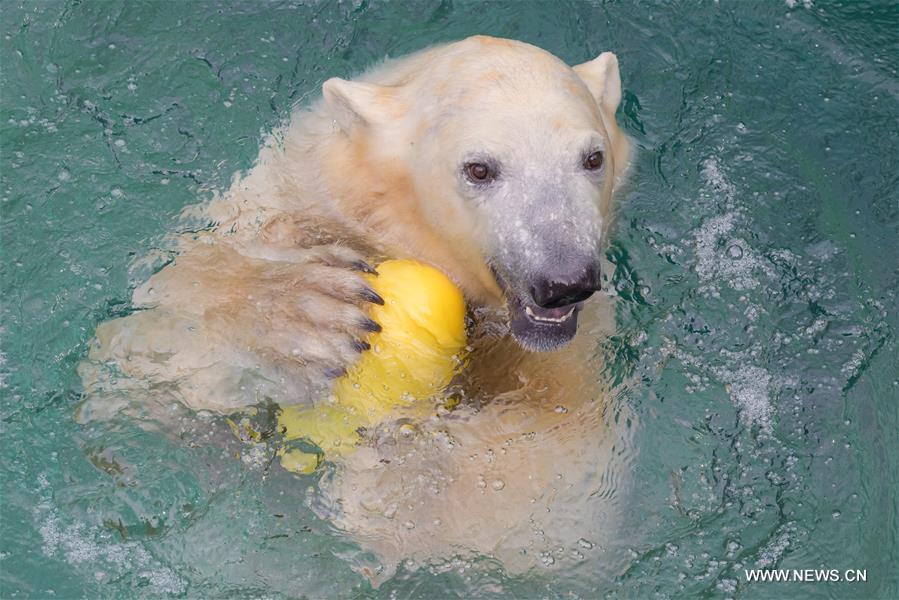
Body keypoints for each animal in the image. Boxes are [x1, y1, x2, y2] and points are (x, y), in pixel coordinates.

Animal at [79, 35, 633, 581]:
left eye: (592, 158)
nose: (563, 281)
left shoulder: (575, 347)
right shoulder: (287, 200)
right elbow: (147, 349)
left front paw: (400, 465)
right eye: (479, 169)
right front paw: (308, 311)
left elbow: (556, 494)